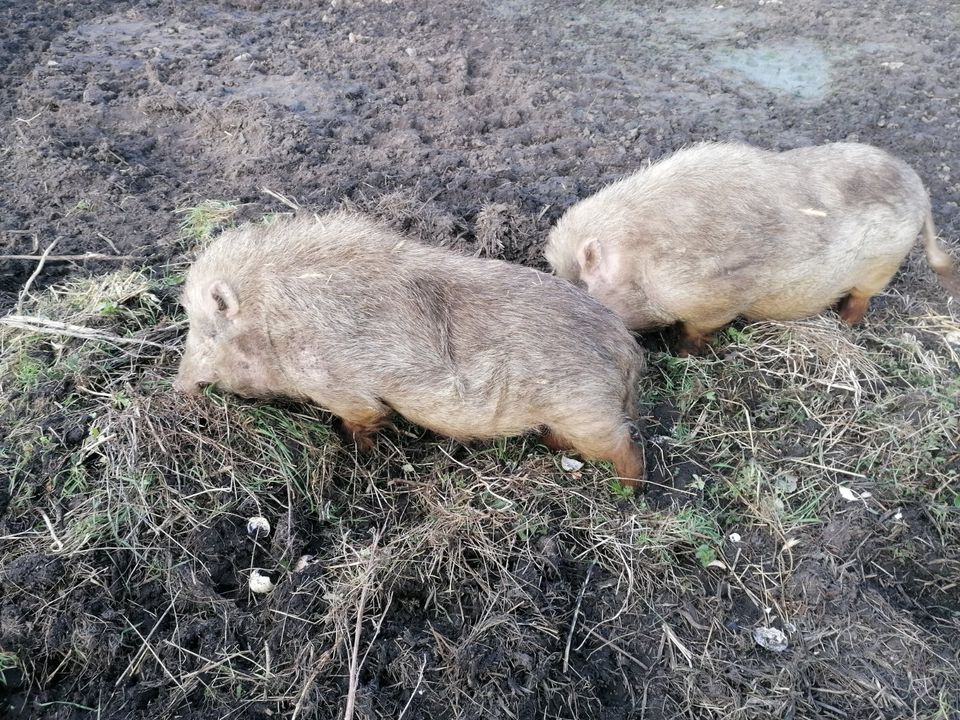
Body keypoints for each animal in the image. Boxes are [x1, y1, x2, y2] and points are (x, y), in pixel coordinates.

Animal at [176, 211, 648, 486]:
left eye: (208, 333)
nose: (179, 387)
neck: (274, 321)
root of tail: (625, 348)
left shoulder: (339, 386)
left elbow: (364, 418)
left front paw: (360, 452)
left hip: (586, 409)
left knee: (626, 449)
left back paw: (626, 493)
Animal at [544, 141, 956, 354]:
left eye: (583, 288)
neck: (643, 260)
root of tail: (919, 189)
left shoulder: (718, 297)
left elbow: (696, 331)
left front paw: (685, 353)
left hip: (883, 263)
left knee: (862, 298)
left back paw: (844, 321)